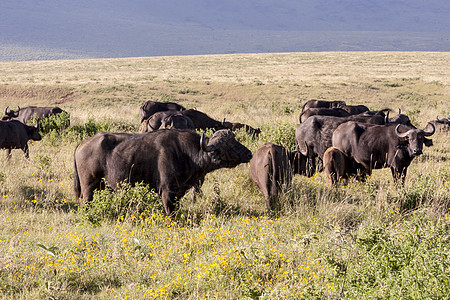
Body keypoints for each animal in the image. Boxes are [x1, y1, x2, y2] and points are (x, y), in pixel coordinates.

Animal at [72, 129, 251, 216]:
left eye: (235, 140)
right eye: (230, 144)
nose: (249, 153)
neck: (188, 153)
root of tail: (83, 143)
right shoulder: (167, 191)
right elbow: (170, 212)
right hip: (89, 188)